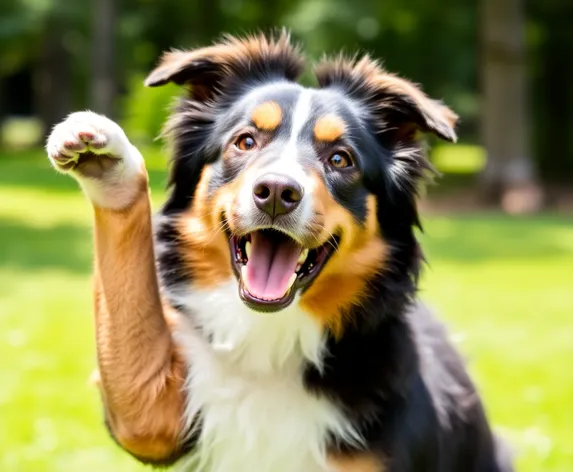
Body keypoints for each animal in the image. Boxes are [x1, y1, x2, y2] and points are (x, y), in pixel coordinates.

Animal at [43, 31, 510, 470]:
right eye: (245, 142)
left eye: (341, 159)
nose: (276, 192)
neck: (270, 340)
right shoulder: (158, 420)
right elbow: (133, 370)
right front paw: (108, 164)